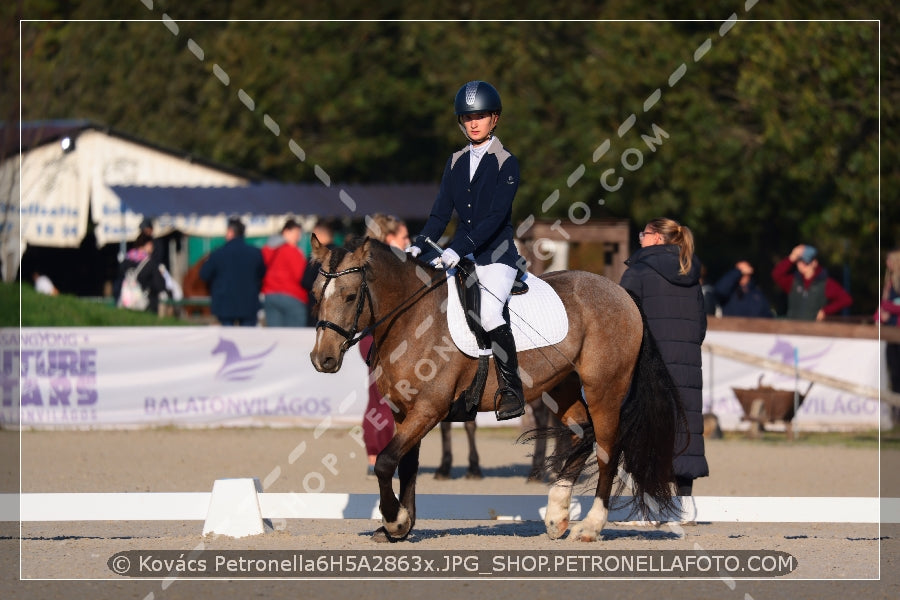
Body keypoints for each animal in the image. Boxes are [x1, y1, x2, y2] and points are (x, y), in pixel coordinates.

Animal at [308, 237, 684, 540]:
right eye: (315, 294)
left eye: (350, 296)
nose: (322, 359)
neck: (410, 320)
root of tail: (620, 292)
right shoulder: (404, 411)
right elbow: (406, 465)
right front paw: (400, 525)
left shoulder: (429, 409)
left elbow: (386, 462)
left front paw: (395, 521)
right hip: (562, 386)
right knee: (583, 432)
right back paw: (557, 514)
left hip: (604, 389)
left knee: (608, 449)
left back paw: (589, 526)